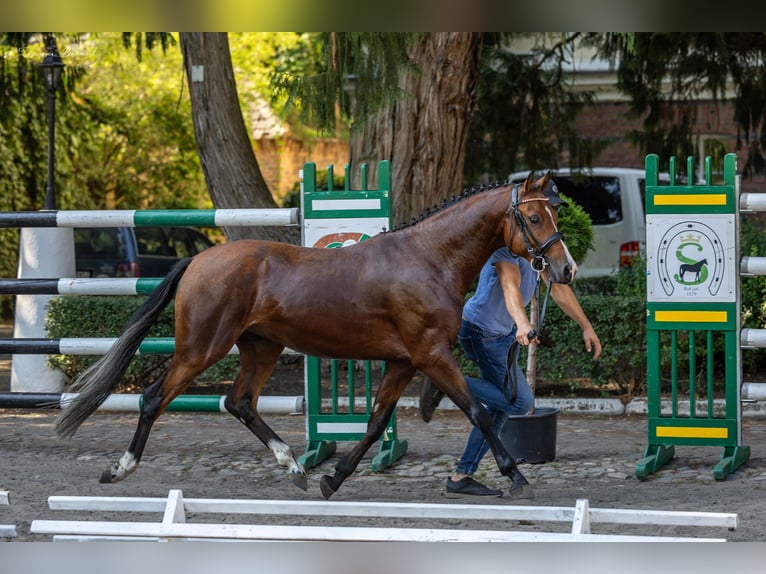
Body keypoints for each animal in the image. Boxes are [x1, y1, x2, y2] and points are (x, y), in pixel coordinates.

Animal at [55, 171, 576, 500]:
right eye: (534, 218)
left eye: (552, 215)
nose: (566, 268)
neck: (428, 258)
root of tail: (200, 260)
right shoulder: (430, 354)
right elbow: (478, 411)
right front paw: (515, 477)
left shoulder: (403, 361)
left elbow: (375, 424)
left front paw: (335, 478)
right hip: (201, 348)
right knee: (153, 398)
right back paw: (120, 468)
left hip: (260, 348)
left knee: (240, 402)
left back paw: (296, 468)